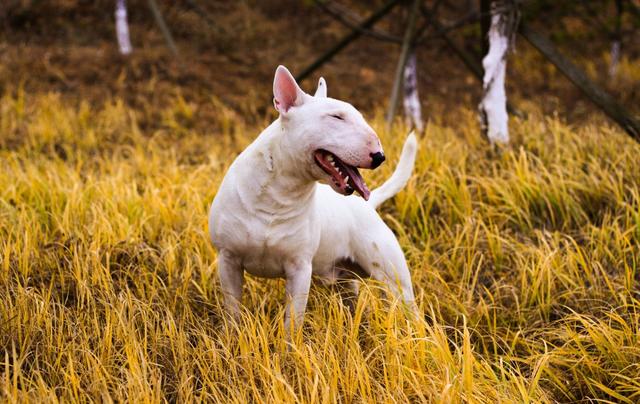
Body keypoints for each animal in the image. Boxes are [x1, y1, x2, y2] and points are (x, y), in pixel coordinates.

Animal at [210, 65, 418, 328]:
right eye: (337, 117)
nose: (380, 156)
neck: (279, 194)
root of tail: (368, 205)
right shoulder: (228, 260)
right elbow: (233, 312)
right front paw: (232, 335)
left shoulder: (300, 269)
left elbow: (293, 321)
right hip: (345, 278)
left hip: (394, 278)